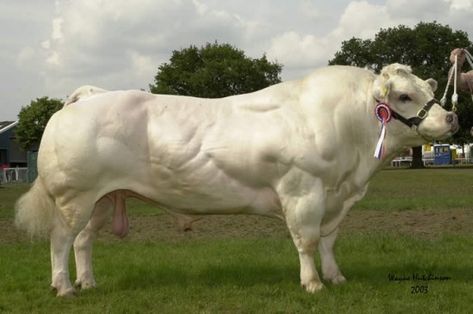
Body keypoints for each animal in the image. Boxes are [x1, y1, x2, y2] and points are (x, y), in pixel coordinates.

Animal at [15, 62, 458, 296]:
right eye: (403, 97)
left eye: (428, 90)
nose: (451, 117)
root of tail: (89, 95)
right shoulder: (303, 191)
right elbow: (307, 241)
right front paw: (313, 284)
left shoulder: (336, 198)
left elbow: (328, 241)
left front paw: (335, 277)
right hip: (74, 197)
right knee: (60, 240)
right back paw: (64, 287)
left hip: (104, 199)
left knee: (83, 242)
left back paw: (88, 282)